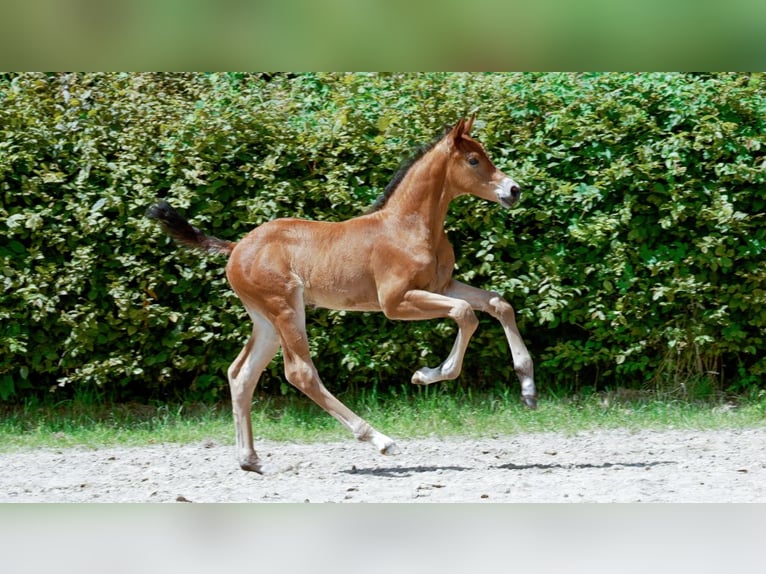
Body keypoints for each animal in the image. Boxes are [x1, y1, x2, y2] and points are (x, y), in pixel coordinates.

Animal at [148, 116, 536, 472]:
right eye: (473, 160)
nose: (514, 190)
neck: (408, 225)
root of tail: (235, 247)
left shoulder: (441, 286)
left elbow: (498, 303)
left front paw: (528, 387)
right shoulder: (395, 301)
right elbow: (464, 314)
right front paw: (426, 374)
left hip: (266, 320)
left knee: (240, 373)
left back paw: (250, 460)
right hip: (286, 310)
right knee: (300, 373)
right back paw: (380, 440)